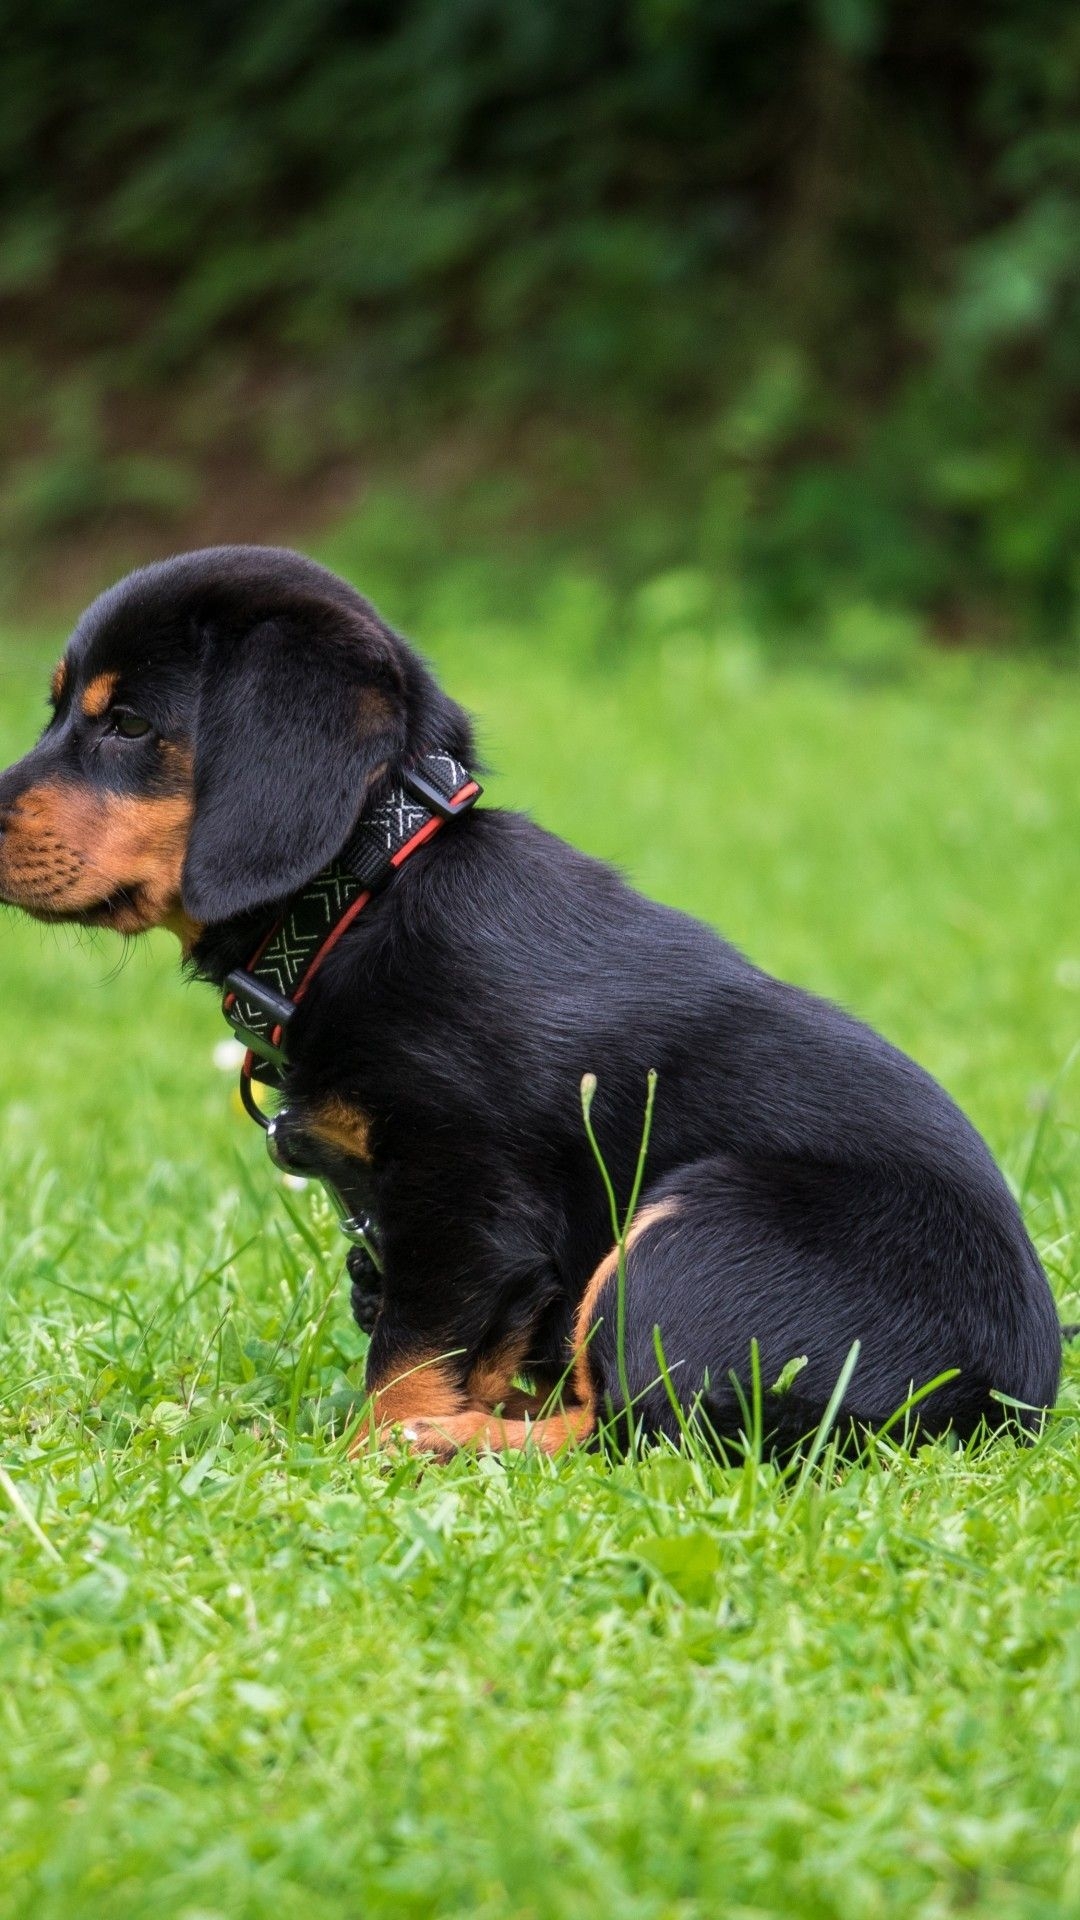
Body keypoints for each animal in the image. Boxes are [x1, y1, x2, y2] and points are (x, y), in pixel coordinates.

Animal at [0, 552, 1060, 1451]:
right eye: (60, 711)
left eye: (128, 724)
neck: (366, 890)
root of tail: (1002, 1404)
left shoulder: (464, 1202)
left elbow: (409, 1359)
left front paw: (370, 1452)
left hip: (694, 1231)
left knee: (632, 1431)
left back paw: (445, 1446)